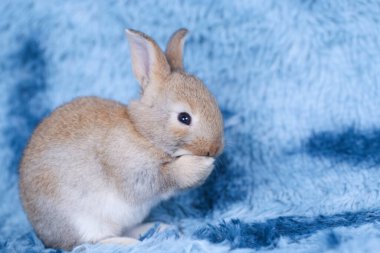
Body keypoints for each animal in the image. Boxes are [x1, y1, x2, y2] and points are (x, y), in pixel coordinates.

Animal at [19, 28, 224, 251]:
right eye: (184, 118)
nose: (215, 149)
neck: (143, 132)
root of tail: (43, 235)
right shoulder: (133, 172)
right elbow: (163, 177)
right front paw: (201, 166)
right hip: (82, 221)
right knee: (88, 243)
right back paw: (128, 242)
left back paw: (158, 228)